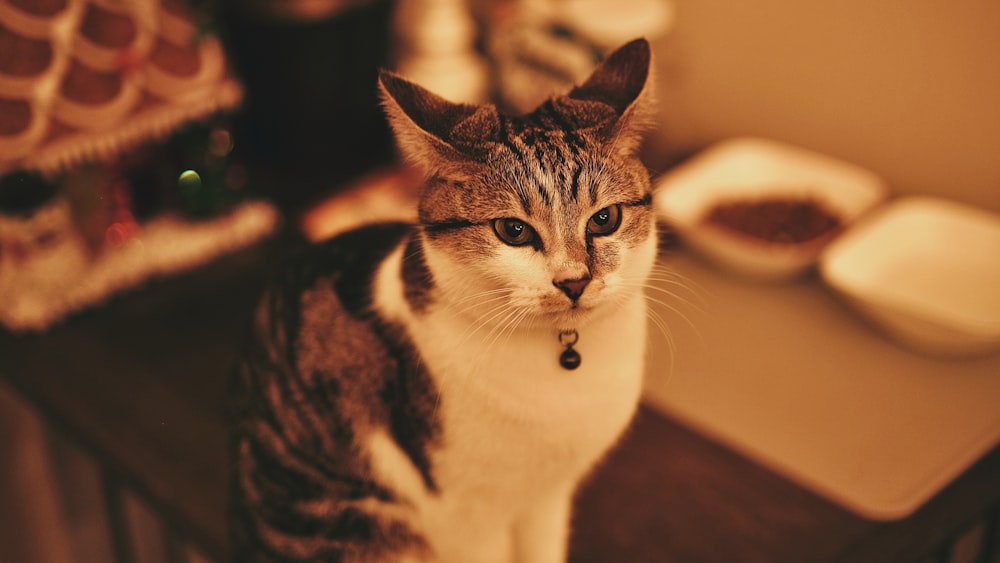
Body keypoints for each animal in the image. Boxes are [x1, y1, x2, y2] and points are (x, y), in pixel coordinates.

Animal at [230, 39, 660, 563]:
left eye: (604, 219)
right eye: (512, 230)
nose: (574, 281)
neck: (561, 371)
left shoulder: (549, 498)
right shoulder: (466, 516)